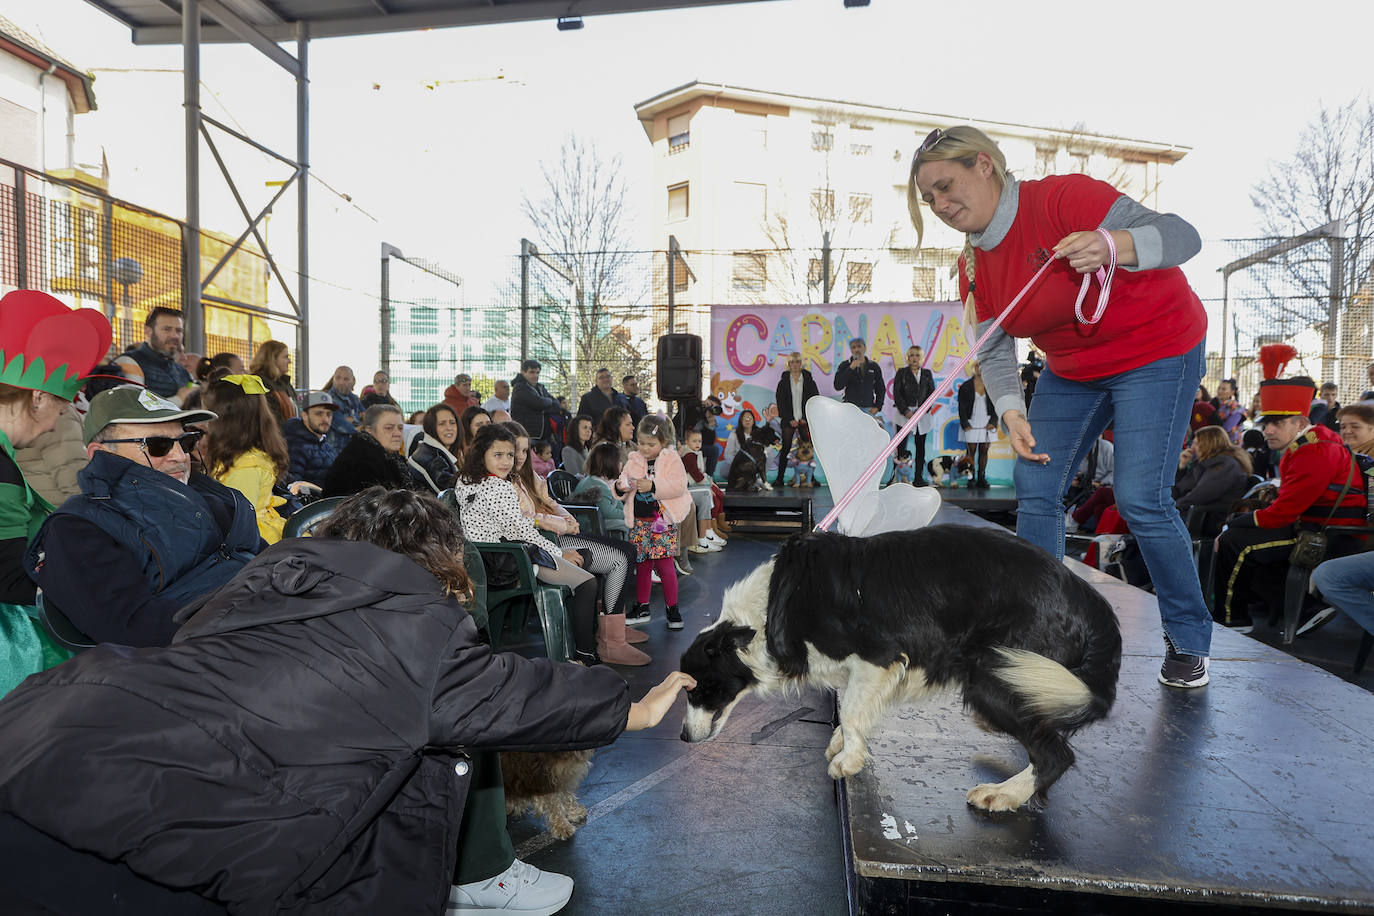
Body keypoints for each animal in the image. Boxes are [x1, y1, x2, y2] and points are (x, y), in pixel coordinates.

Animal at [681, 527, 1121, 813]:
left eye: (697, 689)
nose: (683, 737)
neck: (768, 610)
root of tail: (1091, 600)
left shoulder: (879, 655)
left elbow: (852, 711)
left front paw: (848, 759)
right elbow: (851, 706)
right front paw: (844, 741)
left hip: (1000, 673)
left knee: (1056, 754)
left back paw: (1006, 794)